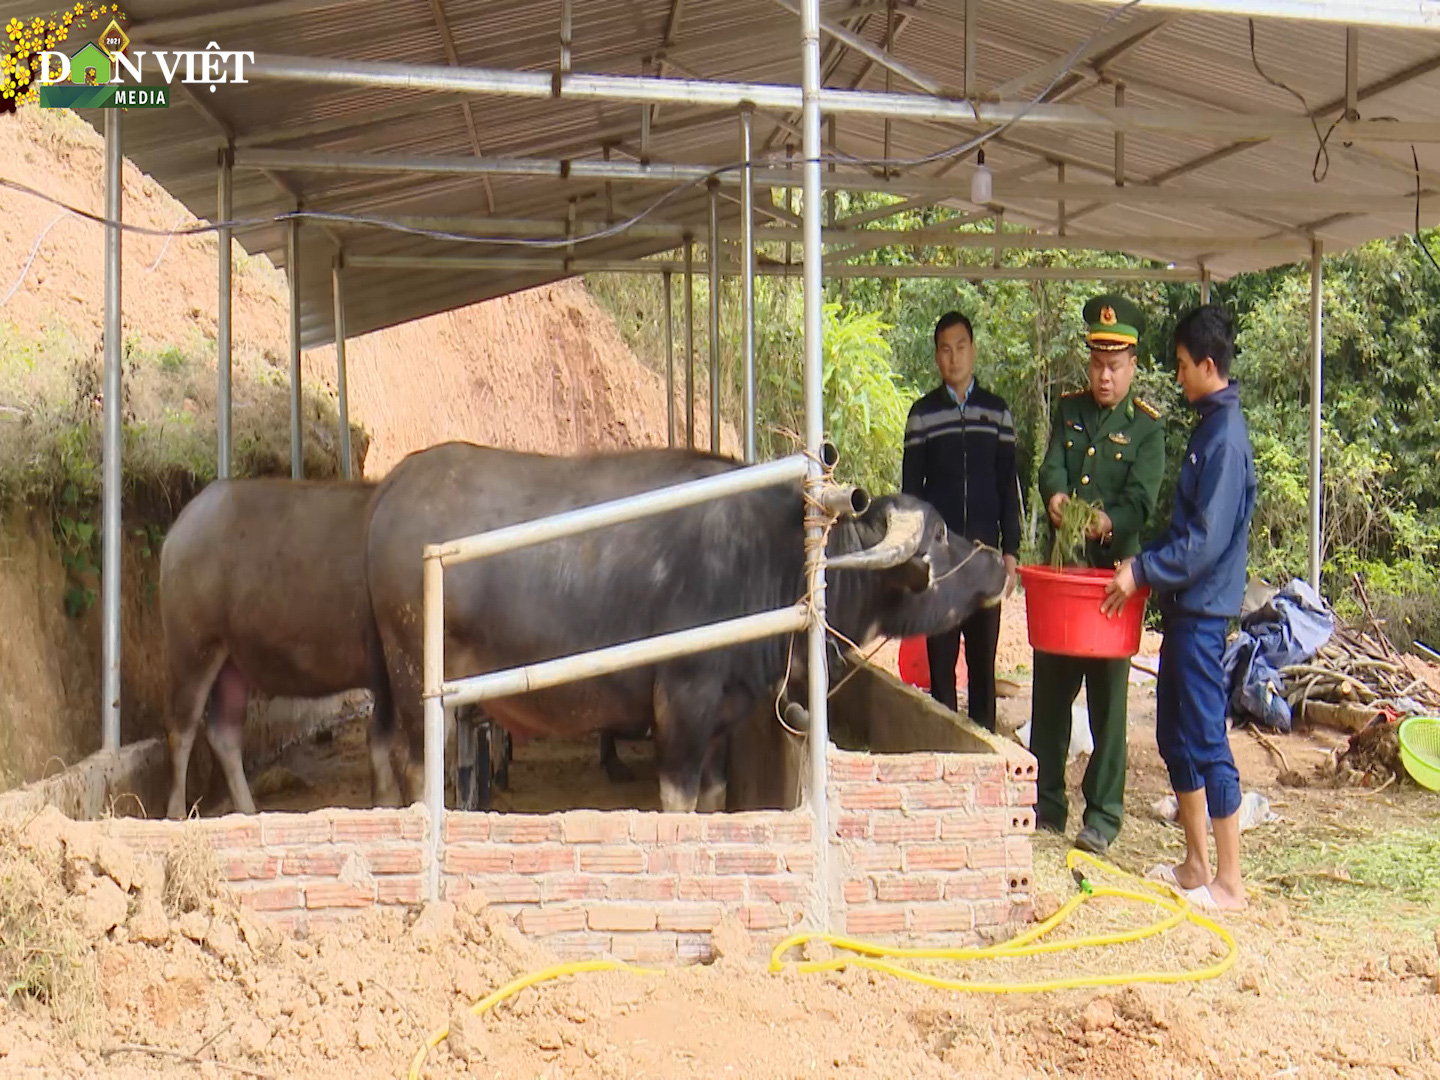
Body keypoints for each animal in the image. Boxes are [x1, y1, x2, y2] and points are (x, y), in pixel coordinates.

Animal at [160, 478, 394, 817]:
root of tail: (178, 530)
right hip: (193, 649)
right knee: (181, 730)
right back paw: (176, 814)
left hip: (232, 662)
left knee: (223, 733)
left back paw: (248, 810)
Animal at [365, 440, 1008, 812]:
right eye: (941, 533)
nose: (1002, 565)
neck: (772, 558)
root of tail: (390, 492)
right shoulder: (682, 707)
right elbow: (677, 802)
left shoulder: (722, 720)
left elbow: (712, 798)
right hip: (414, 679)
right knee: (417, 764)